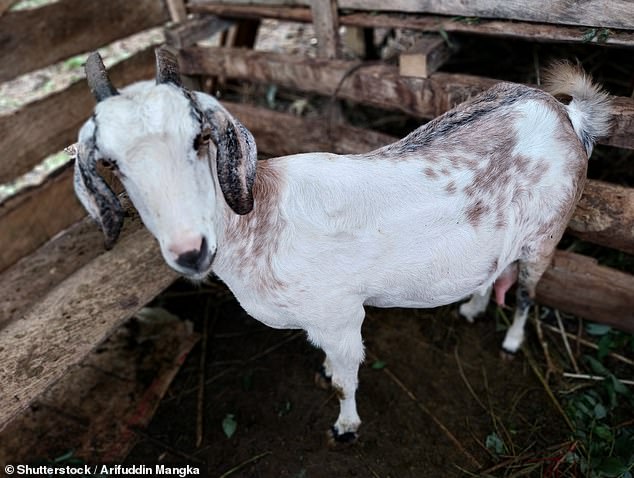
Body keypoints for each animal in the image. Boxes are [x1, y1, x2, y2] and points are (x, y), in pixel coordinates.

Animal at [75, 47, 612, 440]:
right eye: (112, 163)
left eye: (198, 139)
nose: (190, 250)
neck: (262, 220)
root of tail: (565, 113)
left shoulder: (339, 316)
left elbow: (343, 378)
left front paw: (346, 426)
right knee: (497, 270)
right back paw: (474, 306)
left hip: (547, 234)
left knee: (526, 292)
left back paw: (512, 339)